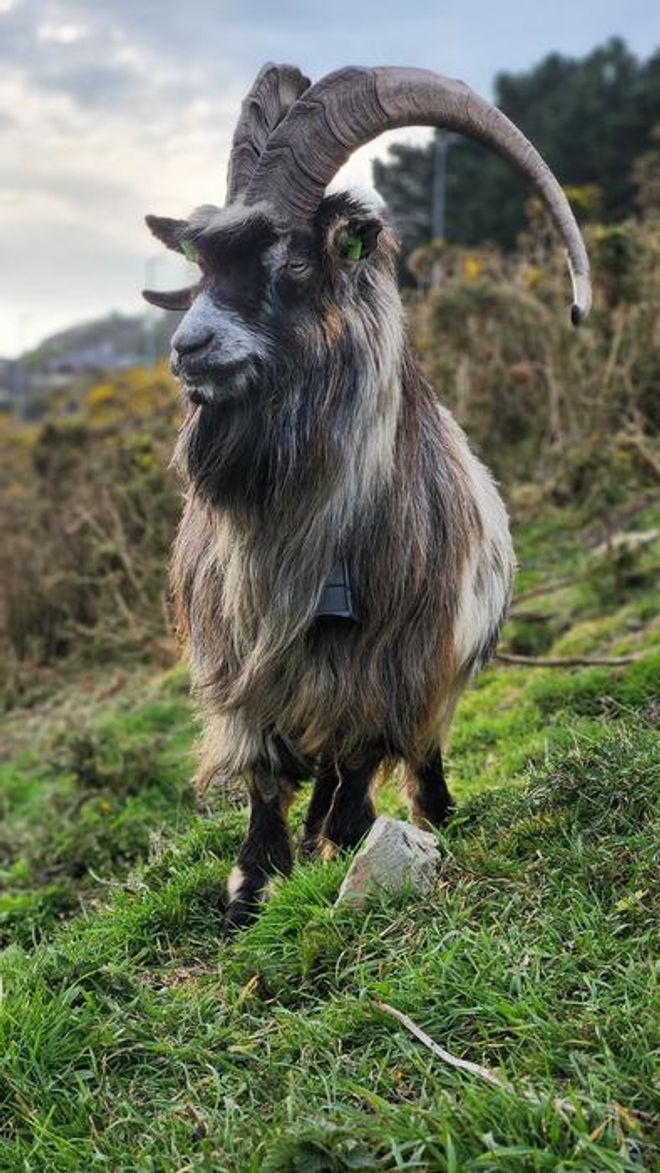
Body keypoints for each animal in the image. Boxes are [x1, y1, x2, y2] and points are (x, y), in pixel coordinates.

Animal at [144, 64, 591, 932]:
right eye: (202, 265)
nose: (189, 347)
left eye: (292, 263)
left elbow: (359, 765)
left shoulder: (396, 661)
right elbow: (266, 774)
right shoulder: (247, 661)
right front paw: (251, 885)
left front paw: (345, 843)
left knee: (409, 752)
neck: (301, 536)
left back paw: (427, 811)